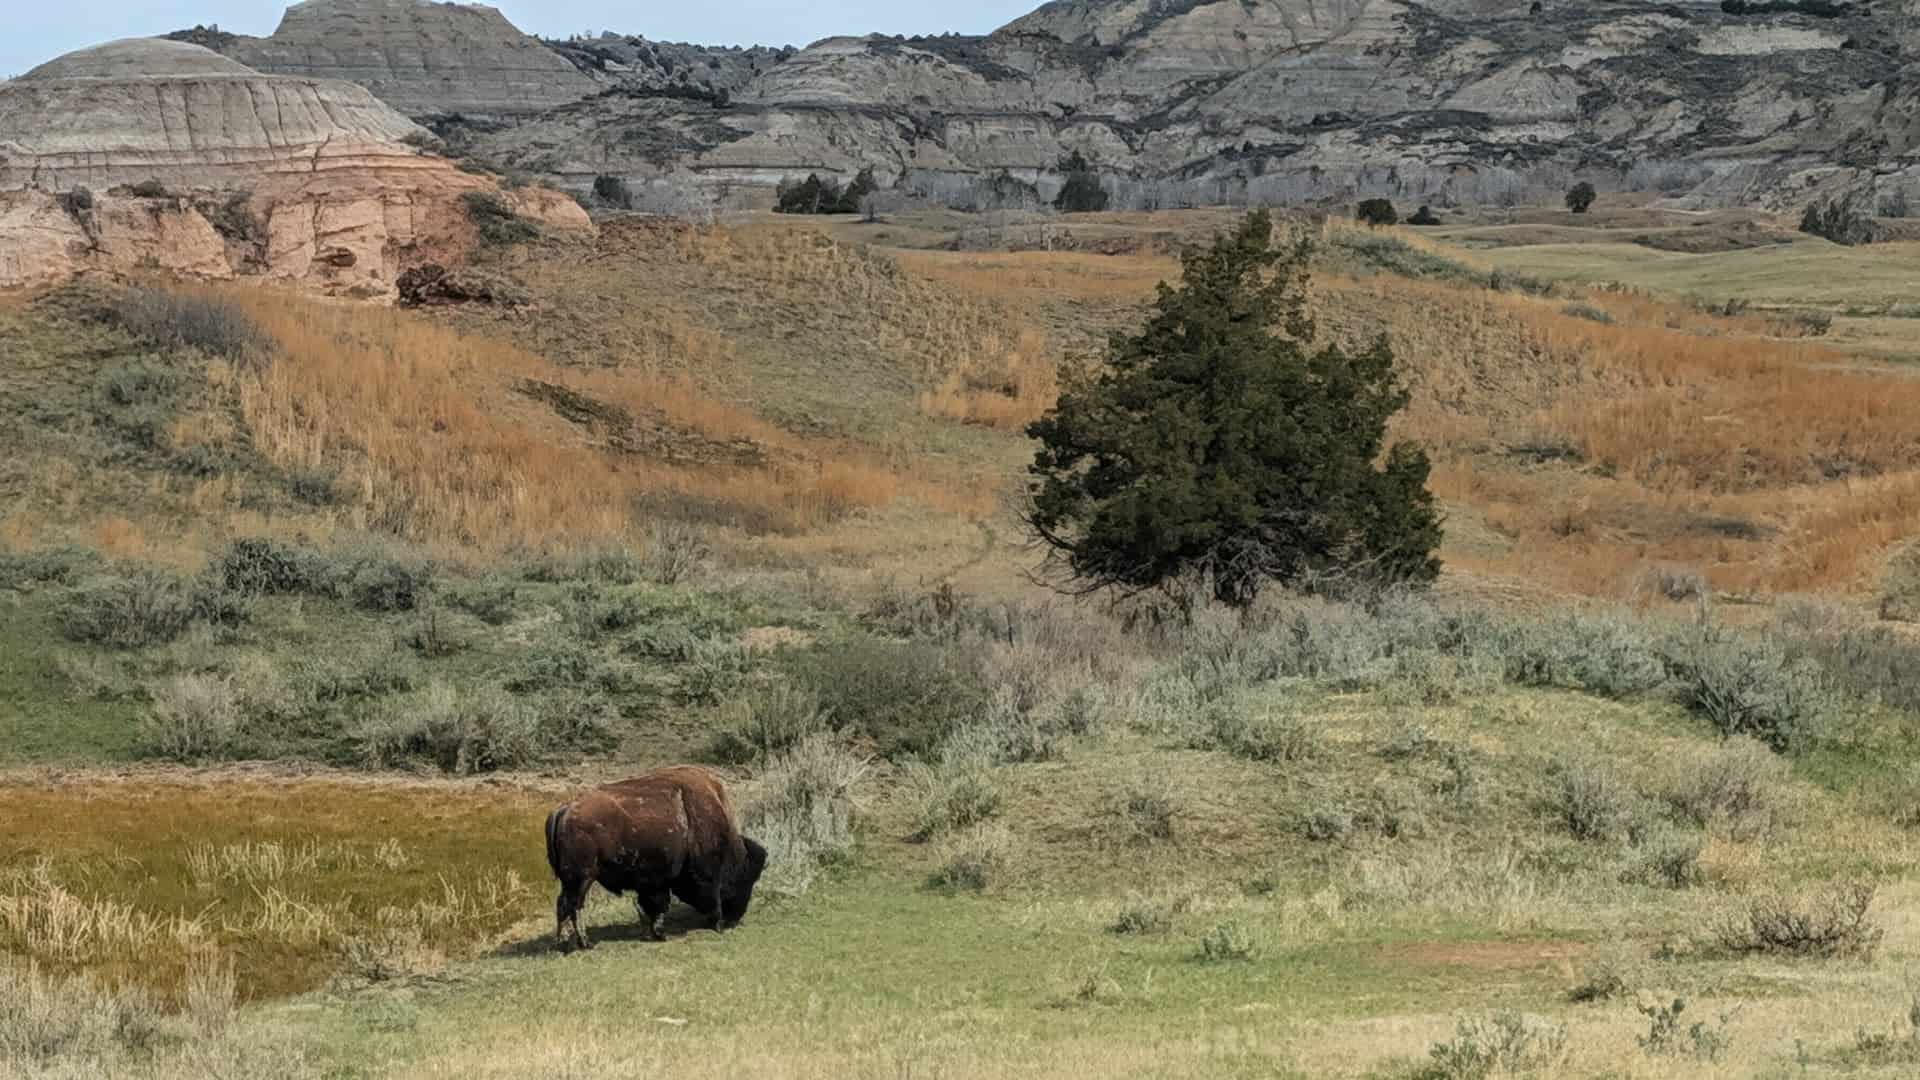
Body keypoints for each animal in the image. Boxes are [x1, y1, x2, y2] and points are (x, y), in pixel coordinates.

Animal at [544, 765, 768, 951]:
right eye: (745, 877)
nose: (735, 918)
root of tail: (564, 810)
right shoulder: (702, 875)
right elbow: (669, 902)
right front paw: (713, 924)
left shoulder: (653, 881)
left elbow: (654, 904)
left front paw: (656, 933)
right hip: (582, 878)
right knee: (573, 905)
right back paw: (583, 943)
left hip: (572, 880)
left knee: (564, 906)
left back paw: (566, 943)